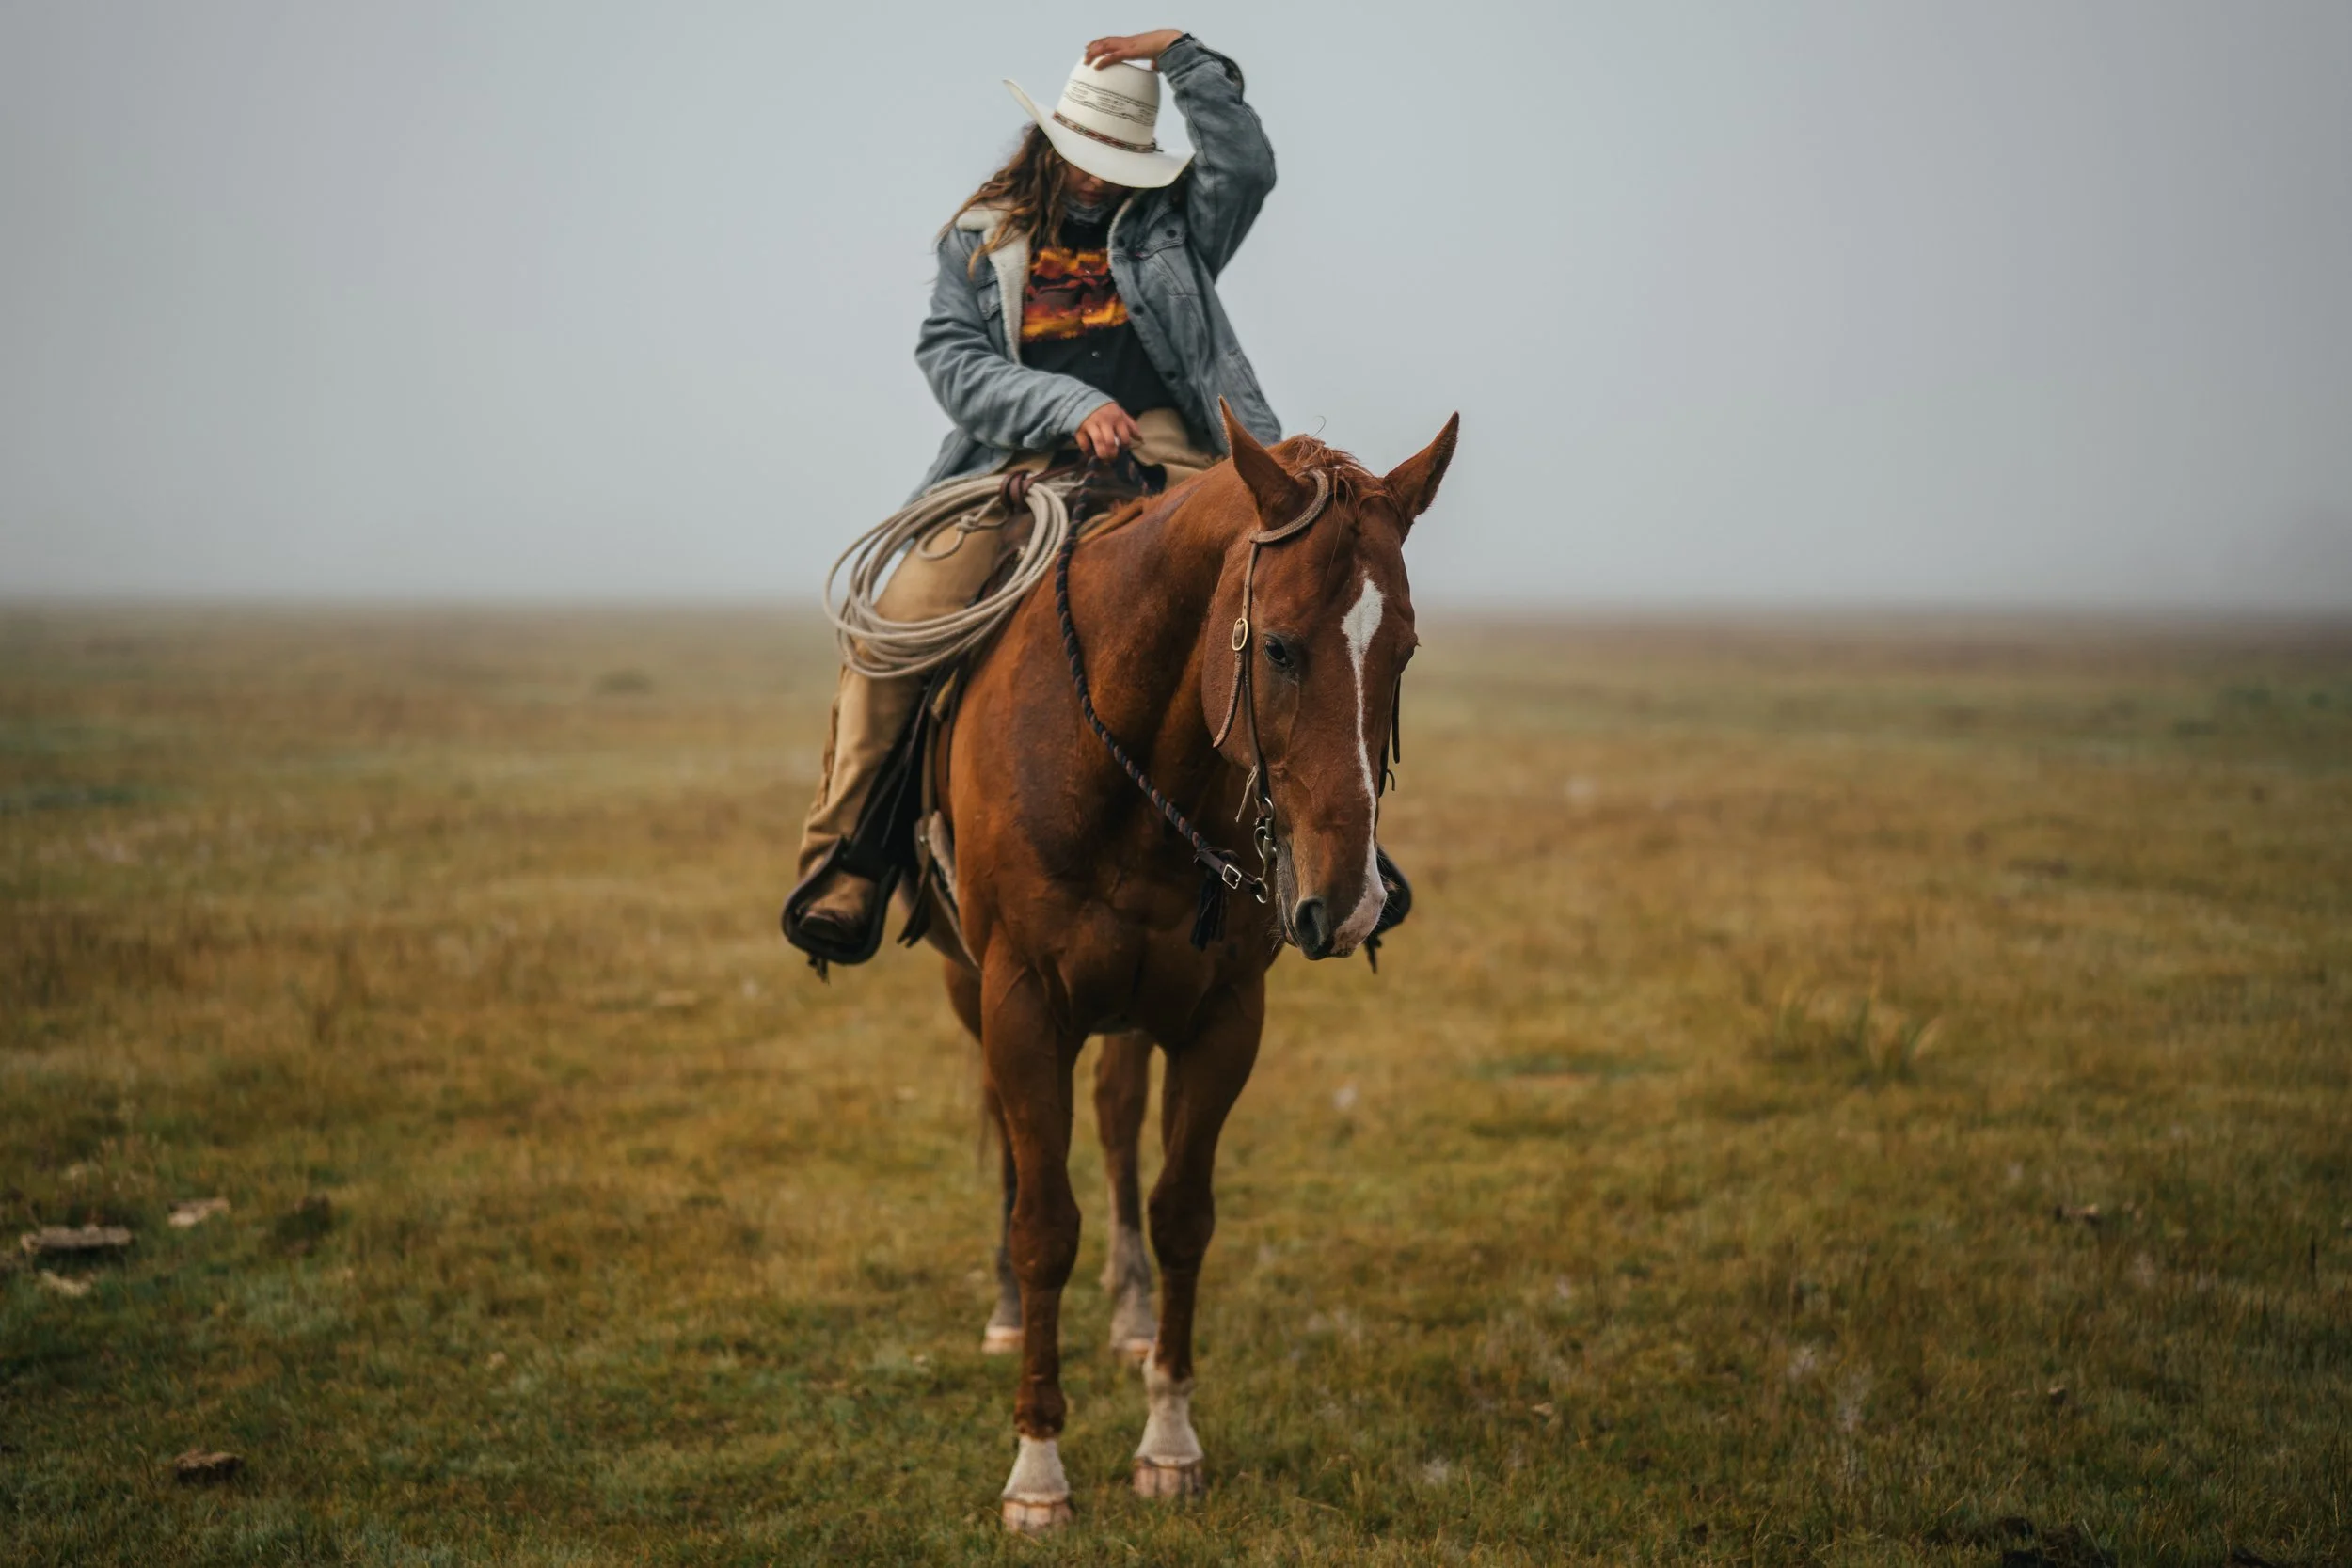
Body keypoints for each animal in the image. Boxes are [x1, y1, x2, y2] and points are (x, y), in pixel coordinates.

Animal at [929, 404, 1457, 1531]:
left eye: (1403, 648)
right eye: (1282, 647)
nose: (1346, 902)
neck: (1125, 762)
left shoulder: (1223, 1016)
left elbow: (1181, 1214)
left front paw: (1169, 1438)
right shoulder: (1019, 999)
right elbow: (1044, 1221)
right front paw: (1036, 1465)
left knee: (1118, 1116)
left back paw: (1130, 1312)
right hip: (968, 984)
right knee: (1012, 1141)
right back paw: (1007, 1308)